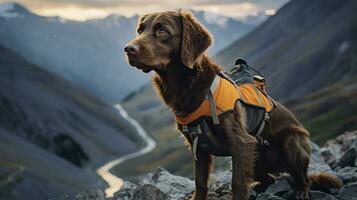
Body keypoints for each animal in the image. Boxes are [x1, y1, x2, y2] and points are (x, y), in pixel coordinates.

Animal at [124, 10, 340, 200]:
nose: (128, 49)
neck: (188, 87)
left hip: (292, 142)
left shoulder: (241, 142)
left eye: (162, 31)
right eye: (140, 30)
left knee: (302, 177)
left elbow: (237, 183)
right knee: (269, 179)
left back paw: (302, 190)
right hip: (257, 157)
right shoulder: (198, 147)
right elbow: (200, 182)